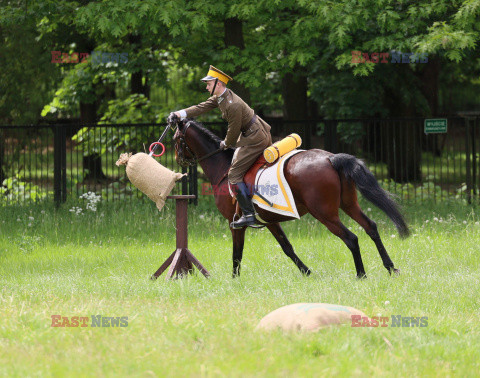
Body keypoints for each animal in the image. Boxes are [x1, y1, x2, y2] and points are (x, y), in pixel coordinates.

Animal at [172, 119, 408, 280]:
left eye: (175, 140)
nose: (178, 160)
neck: (223, 168)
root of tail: (331, 158)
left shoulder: (235, 223)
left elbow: (237, 253)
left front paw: (234, 280)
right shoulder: (271, 221)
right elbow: (287, 247)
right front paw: (307, 272)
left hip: (325, 214)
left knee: (351, 238)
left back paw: (361, 274)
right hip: (349, 205)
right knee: (371, 227)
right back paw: (390, 267)